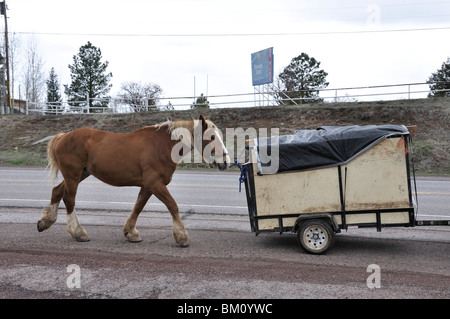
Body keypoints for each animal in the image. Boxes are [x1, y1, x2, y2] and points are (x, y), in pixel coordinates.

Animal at [36, 115, 229, 248]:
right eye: (212, 137)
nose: (225, 162)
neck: (162, 146)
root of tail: (62, 136)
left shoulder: (148, 186)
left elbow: (138, 207)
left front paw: (130, 232)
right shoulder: (155, 184)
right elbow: (172, 206)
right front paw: (181, 236)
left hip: (79, 174)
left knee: (57, 191)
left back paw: (45, 221)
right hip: (73, 175)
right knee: (69, 200)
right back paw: (78, 232)